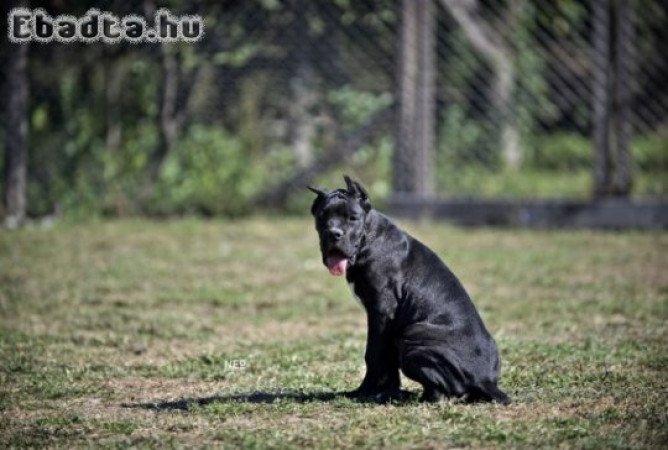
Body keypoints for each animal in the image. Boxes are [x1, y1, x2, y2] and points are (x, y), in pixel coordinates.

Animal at [310, 176, 512, 404]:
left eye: (353, 218)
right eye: (322, 216)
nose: (333, 233)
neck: (369, 239)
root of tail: (485, 381)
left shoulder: (381, 312)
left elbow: (373, 354)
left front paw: (367, 393)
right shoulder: (387, 323)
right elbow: (386, 361)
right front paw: (386, 392)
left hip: (412, 335)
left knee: (443, 391)